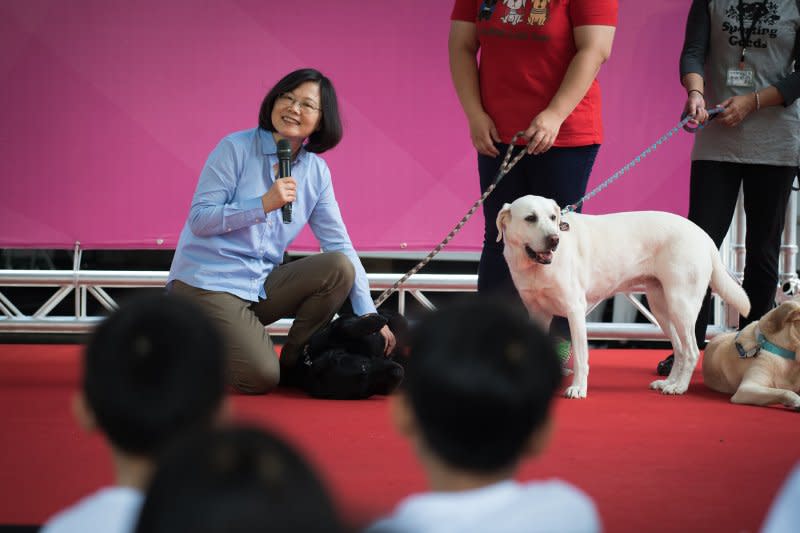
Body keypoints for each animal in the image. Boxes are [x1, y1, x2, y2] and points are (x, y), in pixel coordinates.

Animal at [496, 193, 752, 396]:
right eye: (530, 218)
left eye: (552, 218)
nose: (554, 239)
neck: (534, 267)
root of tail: (702, 234)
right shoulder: (537, 314)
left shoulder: (575, 310)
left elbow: (580, 358)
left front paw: (578, 388)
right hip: (661, 308)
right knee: (679, 350)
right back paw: (668, 382)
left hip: (682, 305)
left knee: (690, 351)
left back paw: (679, 387)